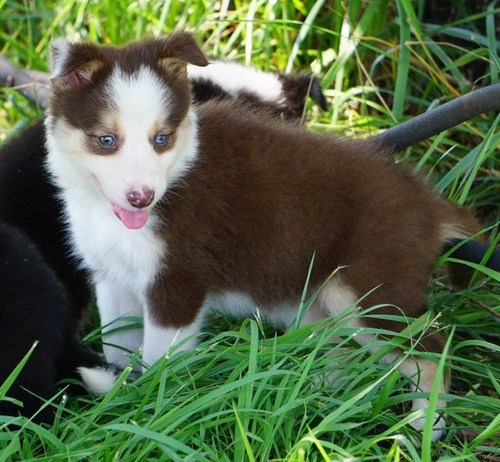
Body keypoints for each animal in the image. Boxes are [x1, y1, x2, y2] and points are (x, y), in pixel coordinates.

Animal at [45, 30, 482, 438]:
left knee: (432, 356)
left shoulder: (178, 281)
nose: (142, 198)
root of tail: (428, 204)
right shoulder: (112, 279)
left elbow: (160, 360)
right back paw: (314, 401)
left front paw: (150, 413)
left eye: (161, 139)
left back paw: (421, 428)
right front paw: (117, 403)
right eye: (106, 140)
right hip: (323, 302)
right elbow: (117, 346)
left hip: (368, 294)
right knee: (345, 355)